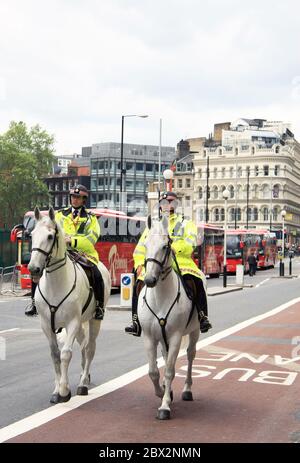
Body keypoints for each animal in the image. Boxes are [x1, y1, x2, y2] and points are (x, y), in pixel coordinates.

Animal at [28, 208, 111, 404]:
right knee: (83, 346)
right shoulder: (46, 325)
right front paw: (56, 390)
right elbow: (55, 355)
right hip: (80, 324)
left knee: (89, 349)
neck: (56, 284)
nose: (33, 269)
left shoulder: (72, 322)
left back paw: (83, 384)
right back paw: (83, 377)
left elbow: (65, 354)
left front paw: (64, 391)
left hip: (94, 320)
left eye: (50, 236)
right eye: (31, 235)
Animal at [138, 217, 206, 420]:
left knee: (190, 355)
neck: (161, 297)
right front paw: (162, 392)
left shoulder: (176, 336)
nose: (149, 280)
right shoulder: (149, 337)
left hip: (194, 331)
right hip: (162, 337)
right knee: (165, 355)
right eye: (145, 244)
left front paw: (165, 405)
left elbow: (169, 371)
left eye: (164, 246)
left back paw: (187, 390)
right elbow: (153, 371)